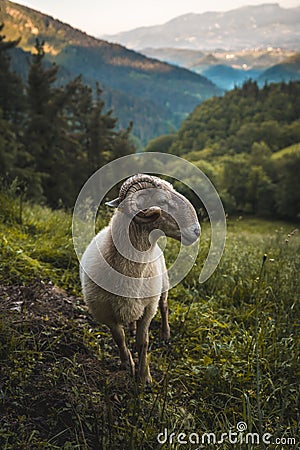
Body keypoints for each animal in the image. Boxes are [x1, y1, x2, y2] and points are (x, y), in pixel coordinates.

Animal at [81, 174, 200, 382]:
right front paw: (127, 363)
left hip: (163, 285)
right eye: (162, 201)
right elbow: (119, 339)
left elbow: (142, 342)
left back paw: (165, 334)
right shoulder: (105, 313)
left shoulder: (148, 308)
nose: (197, 231)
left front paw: (144, 377)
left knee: (164, 306)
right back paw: (131, 328)